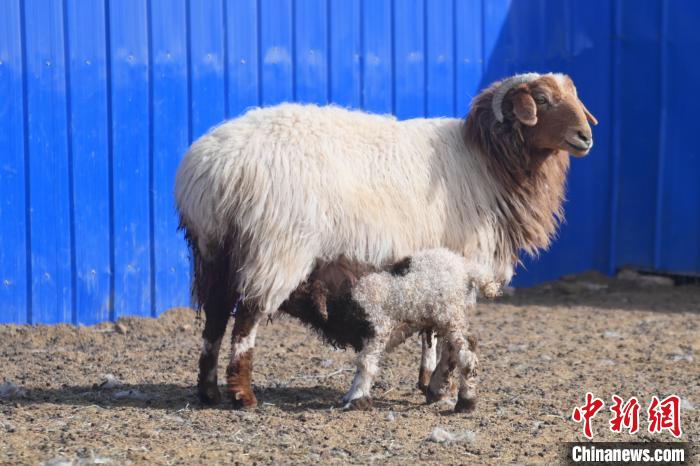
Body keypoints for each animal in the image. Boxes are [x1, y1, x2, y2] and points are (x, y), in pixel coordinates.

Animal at [278, 249, 498, 414]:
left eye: (302, 286)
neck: (345, 299)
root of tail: (467, 268)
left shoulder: (378, 329)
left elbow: (365, 363)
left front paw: (356, 398)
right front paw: (351, 395)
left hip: (448, 313)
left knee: (466, 355)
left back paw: (466, 402)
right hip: (447, 318)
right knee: (459, 347)